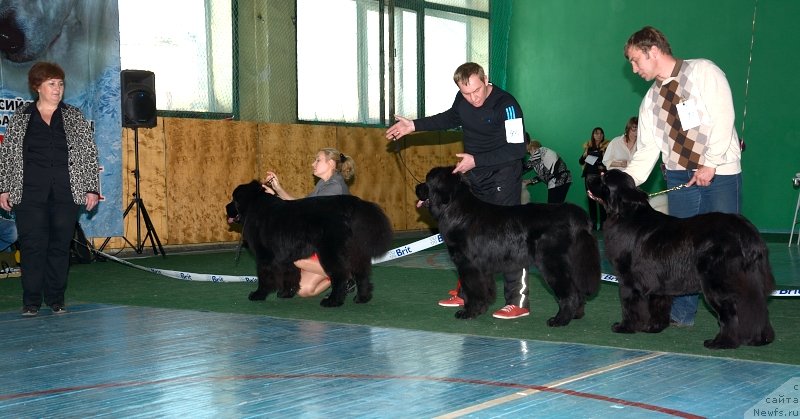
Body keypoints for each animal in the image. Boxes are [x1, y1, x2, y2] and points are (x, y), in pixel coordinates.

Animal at [227, 181, 392, 308]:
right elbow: (290, 274)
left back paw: (332, 301)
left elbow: (264, 276)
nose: (225, 208)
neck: (254, 206)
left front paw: (258, 294)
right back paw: (361, 298)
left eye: (233, 199)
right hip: (355, 251)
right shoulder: (285, 257)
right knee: (361, 273)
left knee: (340, 275)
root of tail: (351, 204)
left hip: (330, 252)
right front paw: (287, 293)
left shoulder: (264, 256)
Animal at [418, 167, 600, 324]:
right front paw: (480, 309)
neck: (457, 210)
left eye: (428, 180)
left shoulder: (468, 265)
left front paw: (468, 312)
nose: (416, 187)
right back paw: (576, 314)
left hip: (551, 263)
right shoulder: (480, 268)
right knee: (577, 290)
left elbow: (473, 290)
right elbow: (484, 289)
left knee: (570, 292)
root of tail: (577, 215)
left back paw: (560, 320)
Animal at [588, 169, 776, 350]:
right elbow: (658, 304)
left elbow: (628, 304)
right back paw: (759, 339)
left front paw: (625, 327)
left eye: (604, 178)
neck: (625, 213)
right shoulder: (658, 279)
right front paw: (654, 327)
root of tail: (745, 231)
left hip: (717, 282)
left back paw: (721, 343)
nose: (588, 176)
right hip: (752, 281)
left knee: (730, 312)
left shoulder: (628, 279)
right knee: (757, 308)